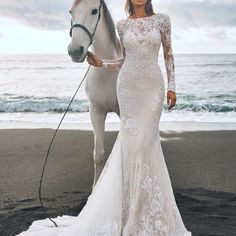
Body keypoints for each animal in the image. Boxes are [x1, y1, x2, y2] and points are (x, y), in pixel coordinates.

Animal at [68, 0, 121, 189]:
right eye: (71, 12)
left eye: (94, 11)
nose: (75, 50)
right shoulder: (96, 112)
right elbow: (98, 155)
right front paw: (95, 189)